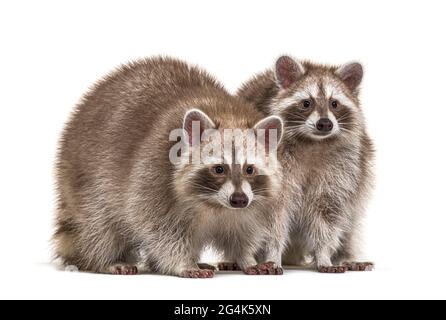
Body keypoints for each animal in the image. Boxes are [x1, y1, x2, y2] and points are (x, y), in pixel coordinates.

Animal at [54, 57, 288, 278]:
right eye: (219, 169)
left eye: (250, 169)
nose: (239, 200)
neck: (214, 204)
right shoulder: (152, 175)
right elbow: (158, 229)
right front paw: (183, 263)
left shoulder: (251, 206)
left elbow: (243, 232)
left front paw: (246, 258)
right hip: (87, 182)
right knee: (99, 226)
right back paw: (104, 260)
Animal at [237, 55, 376, 272]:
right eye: (306, 103)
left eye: (334, 103)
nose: (325, 124)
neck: (314, 142)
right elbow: (272, 218)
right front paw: (272, 254)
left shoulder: (344, 166)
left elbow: (327, 214)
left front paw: (324, 255)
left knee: (351, 221)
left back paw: (346, 255)